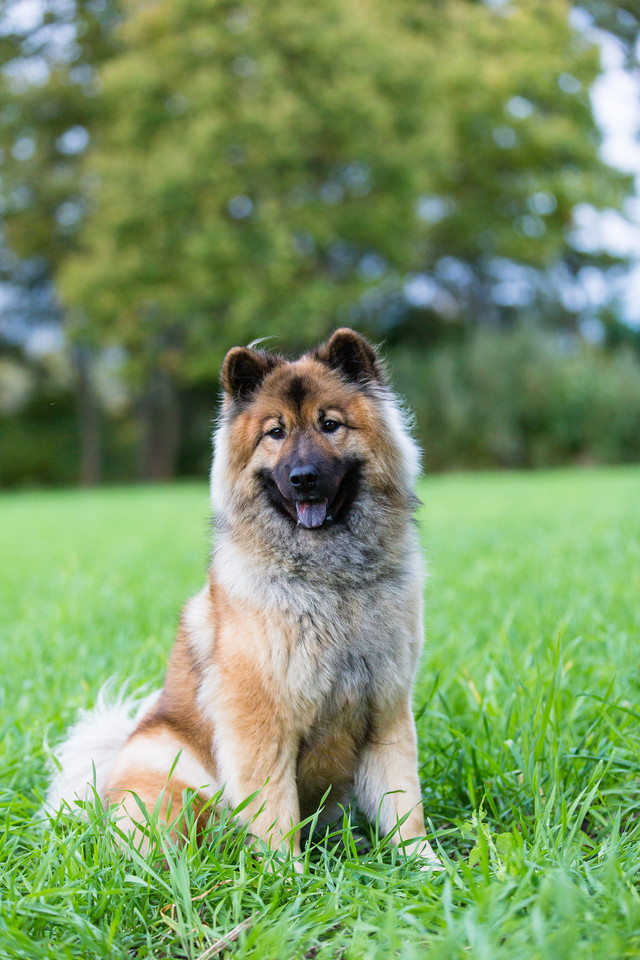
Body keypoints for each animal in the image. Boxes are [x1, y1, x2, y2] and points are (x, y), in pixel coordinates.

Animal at [47, 328, 442, 870]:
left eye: (330, 424)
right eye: (275, 432)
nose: (303, 477)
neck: (330, 580)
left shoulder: (386, 711)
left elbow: (404, 806)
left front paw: (428, 867)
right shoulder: (260, 721)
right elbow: (274, 810)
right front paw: (288, 876)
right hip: (174, 777)